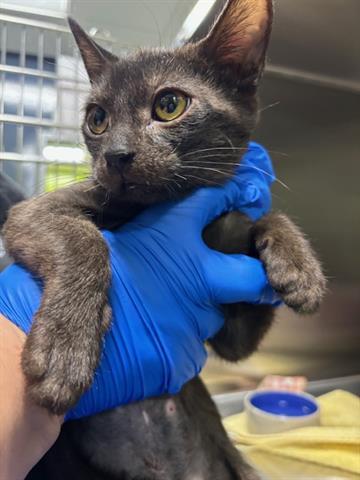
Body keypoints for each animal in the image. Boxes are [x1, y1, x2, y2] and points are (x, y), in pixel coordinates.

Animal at [3, 1, 326, 478]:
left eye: (169, 105)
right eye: (97, 119)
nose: (115, 155)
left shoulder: (233, 334)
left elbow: (261, 219)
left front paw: (299, 265)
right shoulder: (30, 213)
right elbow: (83, 237)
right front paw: (67, 345)